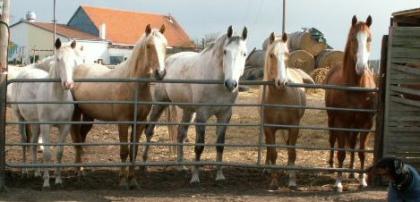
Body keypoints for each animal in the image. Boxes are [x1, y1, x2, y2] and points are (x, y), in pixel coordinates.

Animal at [11, 39, 83, 188]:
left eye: (73, 60)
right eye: (58, 59)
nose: (68, 84)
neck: (58, 98)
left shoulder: (65, 127)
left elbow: (59, 153)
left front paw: (58, 179)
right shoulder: (46, 126)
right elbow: (47, 153)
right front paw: (46, 181)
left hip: (35, 123)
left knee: (33, 143)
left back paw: (36, 172)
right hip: (21, 118)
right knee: (24, 142)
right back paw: (25, 171)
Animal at [70, 24, 167, 189]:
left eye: (165, 46)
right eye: (149, 46)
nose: (160, 73)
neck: (134, 86)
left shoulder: (139, 122)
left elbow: (133, 150)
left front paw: (133, 180)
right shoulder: (123, 122)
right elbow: (124, 151)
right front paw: (122, 180)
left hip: (89, 116)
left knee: (81, 138)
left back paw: (81, 169)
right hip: (76, 114)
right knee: (77, 139)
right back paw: (78, 172)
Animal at [144, 26, 248, 184]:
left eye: (244, 53)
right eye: (225, 51)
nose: (231, 84)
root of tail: (167, 61)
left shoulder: (225, 115)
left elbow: (220, 145)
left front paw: (219, 175)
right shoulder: (202, 115)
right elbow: (199, 146)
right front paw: (195, 177)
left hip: (188, 111)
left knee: (181, 133)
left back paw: (181, 166)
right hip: (160, 103)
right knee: (150, 130)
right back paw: (143, 164)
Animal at [262, 32, 316, 189]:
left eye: (286, 54)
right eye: (271, 55)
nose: (282, 82)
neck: (280, 96)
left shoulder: (293, 127)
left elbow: (292, 153)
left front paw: (292, 181)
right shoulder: (269, 128)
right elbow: (273, 153)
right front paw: (274, 182)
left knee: (287, 145)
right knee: (268, 147)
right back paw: (267, 168)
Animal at [324, 15, 378, 192]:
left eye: (369, 39)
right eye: (353, 38)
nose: (361, 67)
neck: (356, 88)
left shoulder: (366, 124)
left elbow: (362, 151)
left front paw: (362, 180)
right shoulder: (341, 123)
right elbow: (341, 152)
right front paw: (338, 183)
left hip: (354, 125)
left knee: (353, 144)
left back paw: (352, 172)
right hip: (332, 120)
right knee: (332, 141)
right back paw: (332, 167)